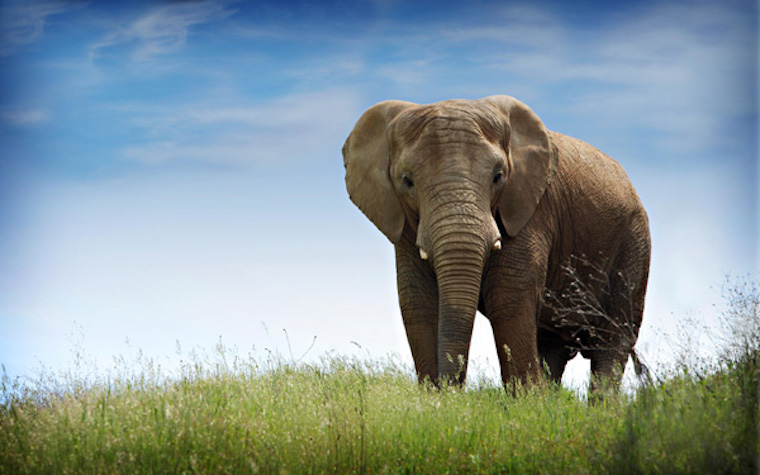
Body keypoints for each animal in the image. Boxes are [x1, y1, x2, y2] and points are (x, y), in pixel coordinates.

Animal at [342, 95, 650, 391]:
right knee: (553, 346)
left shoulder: (530, 211)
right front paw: (432, 399)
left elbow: (508, 296)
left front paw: (526, 401)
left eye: (498, 177)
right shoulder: (404, 224)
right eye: (407, 181)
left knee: (612, 342)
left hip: (634, 243)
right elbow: (418, 300)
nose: (452, 390)